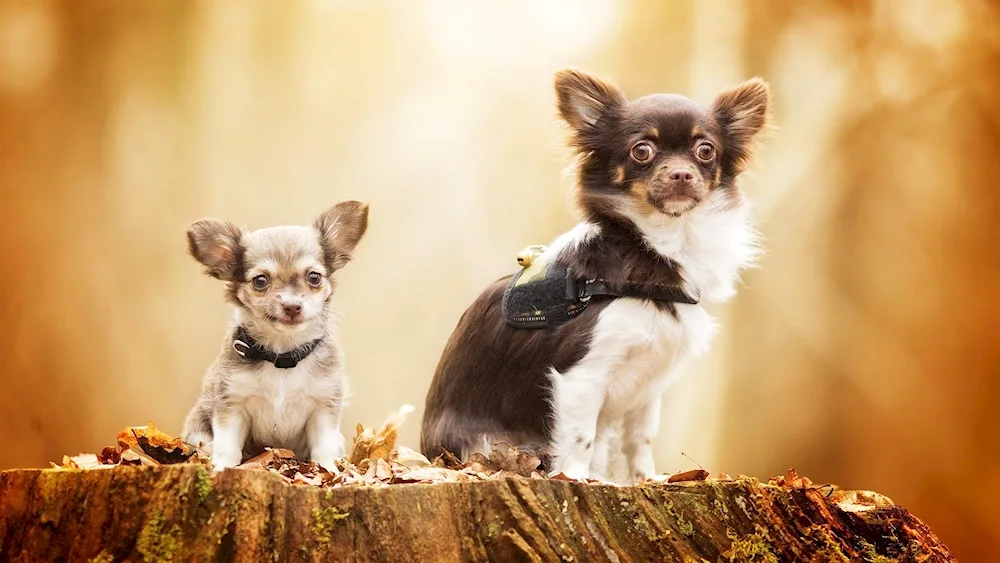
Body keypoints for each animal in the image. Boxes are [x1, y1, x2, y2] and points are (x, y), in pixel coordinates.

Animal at [182, 200, 370, 470]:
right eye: (260, 281)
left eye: (314, 277)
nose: (292, 306)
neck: (283, 356)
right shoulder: (232, 405)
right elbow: (228, 445)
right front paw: (223, 468)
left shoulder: (323, 407)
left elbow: (323, 448)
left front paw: (330, 471)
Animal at [418, 68, 768, 482]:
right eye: (641, 151)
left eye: (706, 150)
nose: (682, 174)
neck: (658, 245)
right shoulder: (581, 375)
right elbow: (580, 436)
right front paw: (576, 477)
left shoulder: (647, 389)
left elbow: (640, 438)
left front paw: (646, 479)